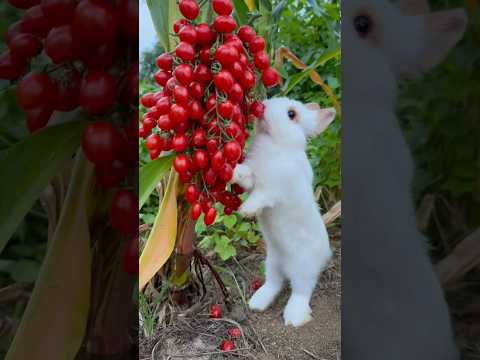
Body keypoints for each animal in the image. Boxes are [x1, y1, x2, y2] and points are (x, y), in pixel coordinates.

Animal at [232, 97, 336, 328]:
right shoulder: (254, 179)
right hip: (271, 263)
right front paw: (234, 171)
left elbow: (261, 197)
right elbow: (246, 177)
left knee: (301, 291)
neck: (276, 144)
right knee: (275, 283)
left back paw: (294, 318)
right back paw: (257, 303)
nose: (262, 106)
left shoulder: (274, 189)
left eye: (291, 114)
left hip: (303, 269)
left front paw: (247, 211)